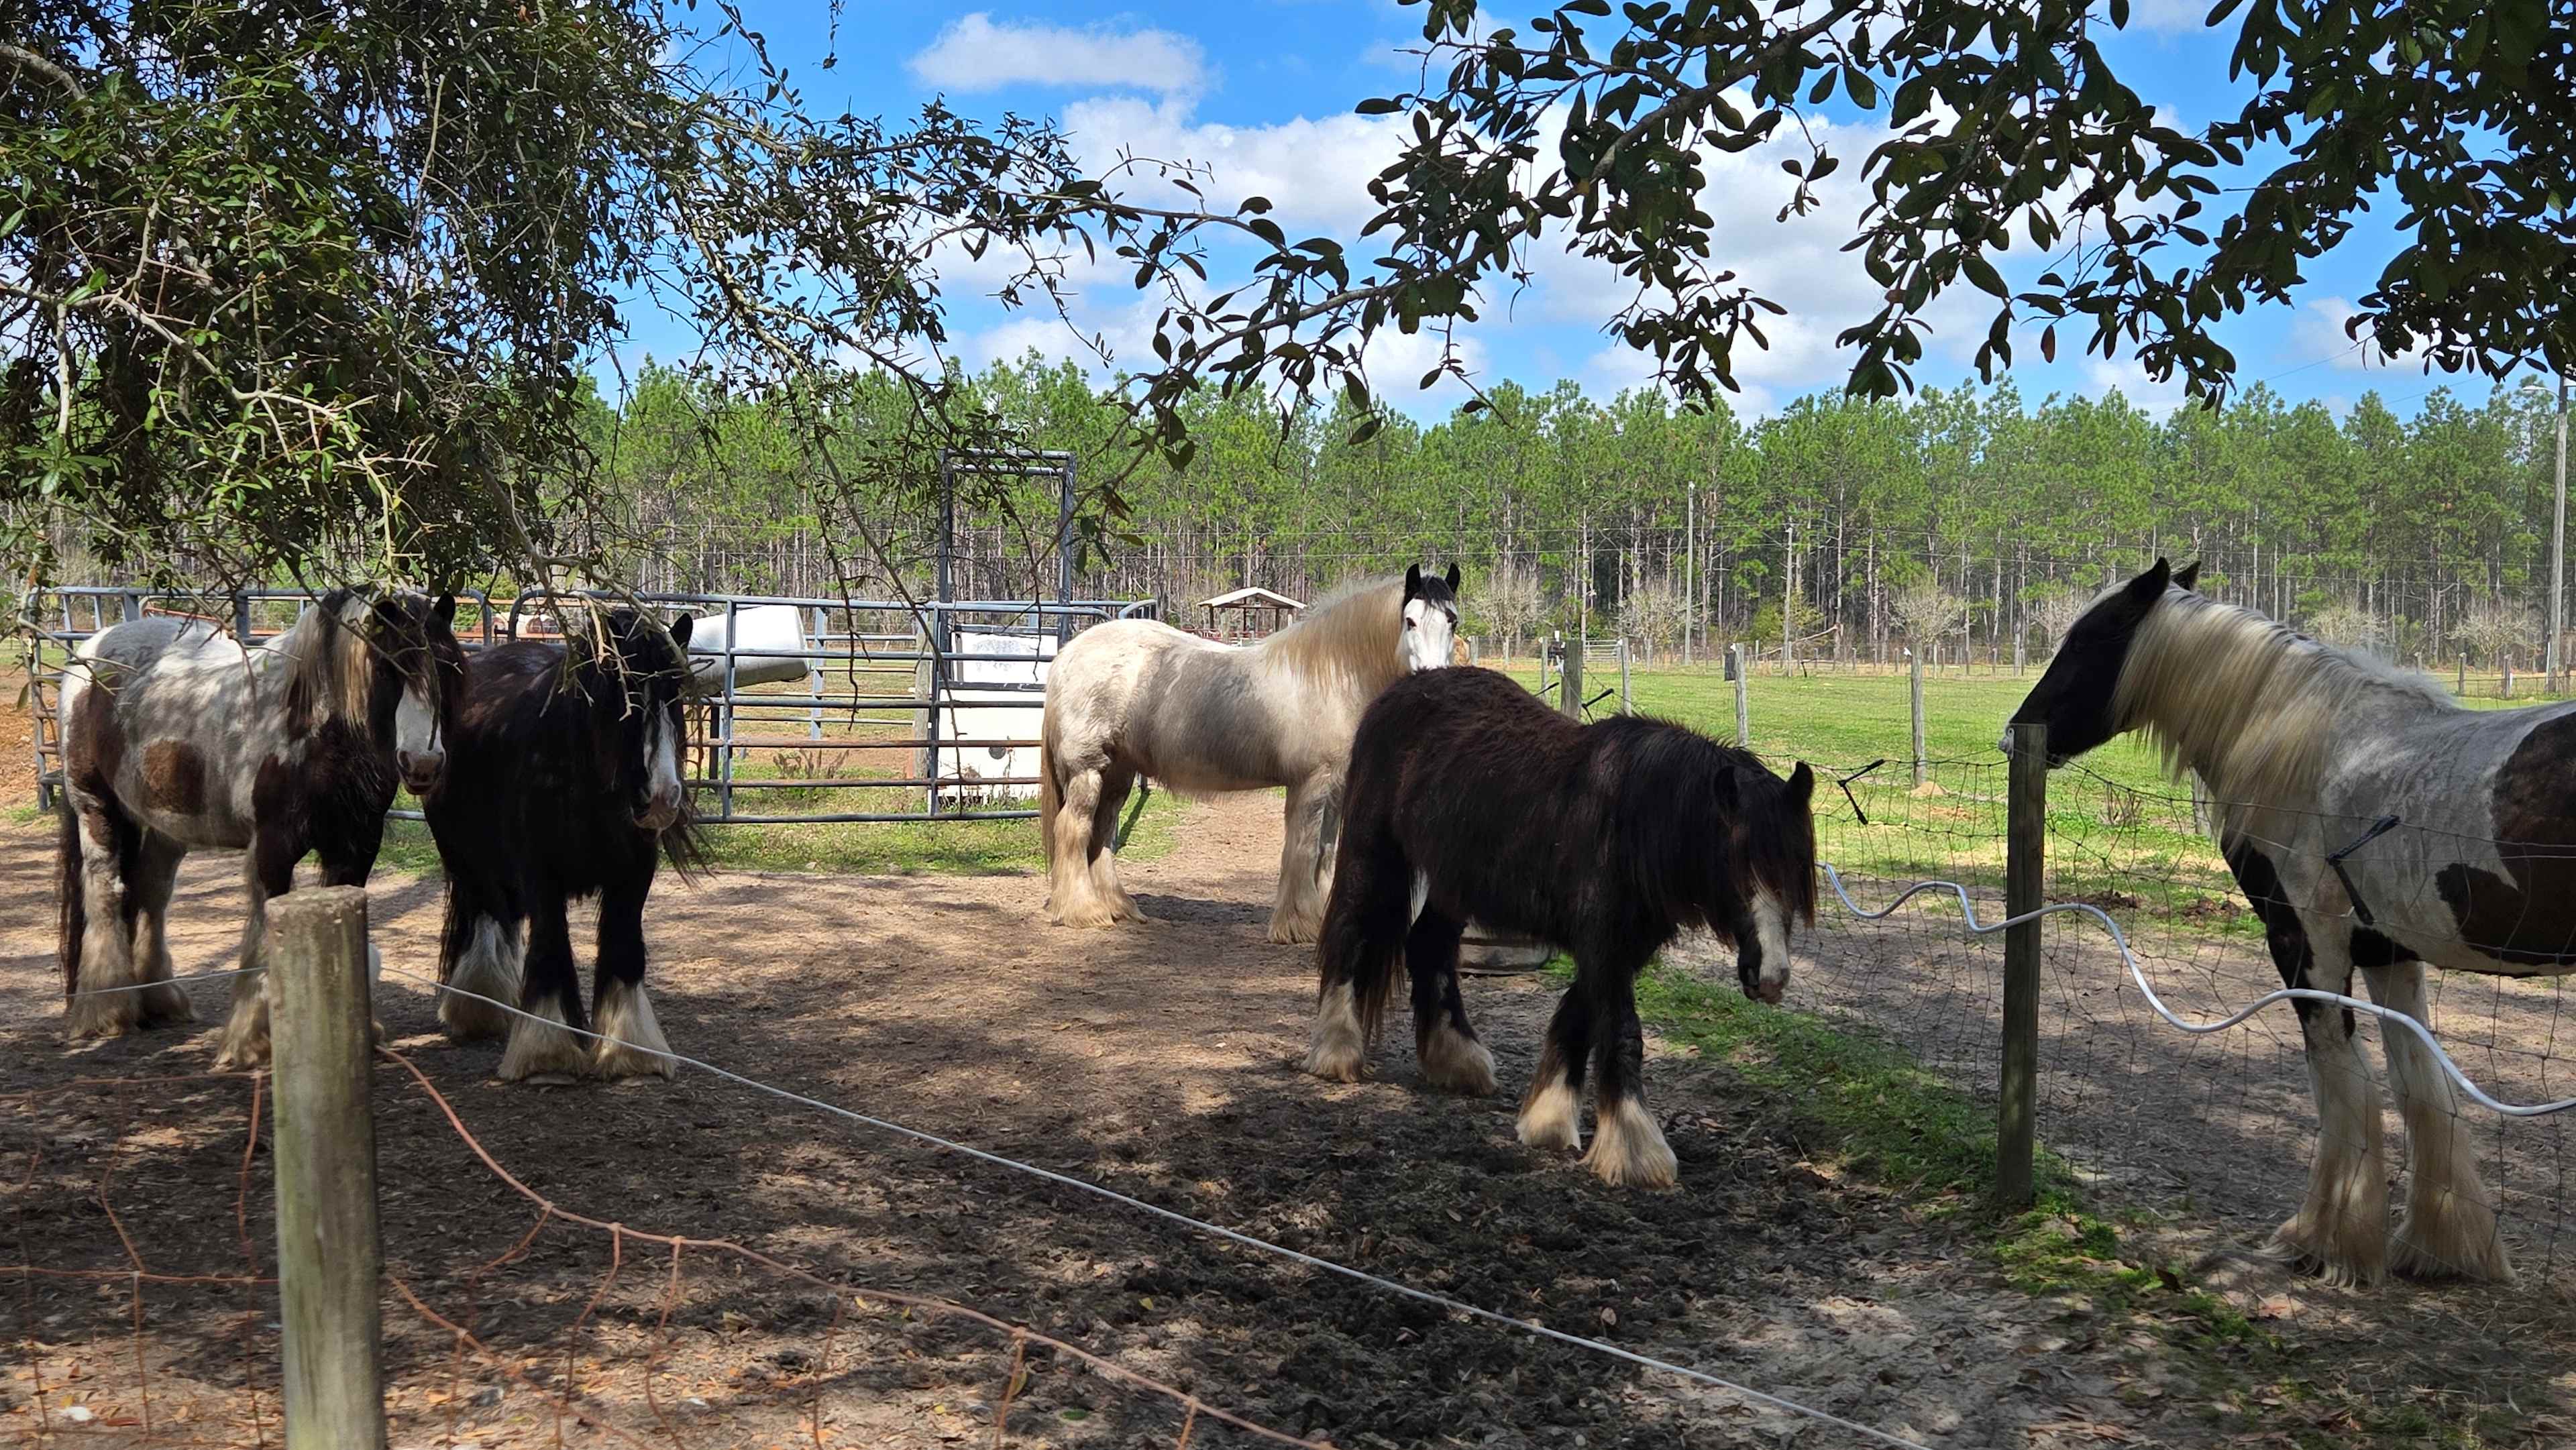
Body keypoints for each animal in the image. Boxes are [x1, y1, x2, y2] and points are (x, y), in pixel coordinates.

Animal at [55, 589, 465, 1067]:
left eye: (447, 668)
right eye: (387, 667)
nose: (423, 764)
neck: (315, 731)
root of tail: (92, 650)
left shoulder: (356, 846)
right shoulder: (274, 848)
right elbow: (265, 934)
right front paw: (253, 1039)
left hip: (167, 826)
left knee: (151, 894)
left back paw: (160, 1001)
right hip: (95, 808)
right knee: (106, 891)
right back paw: (107, 1010)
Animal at [422, 606, 704, 1082]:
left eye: (675, 693)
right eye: (621, 694)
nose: (661, 798)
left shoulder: (633, 878)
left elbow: (625, 951)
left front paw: (630, 1051)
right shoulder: (542, 880)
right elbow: (550, 950)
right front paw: (546, 1053)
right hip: (468, 861)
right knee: (486, 916)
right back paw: (480, 1008)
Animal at [1039, 563, 1462, 943]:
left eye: (1452, 621)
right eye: (1410, 621)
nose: (1433, 684)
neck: (1331, 677)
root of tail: (1068, 655)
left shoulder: (1336, 788)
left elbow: (1326, 852)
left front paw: (1320, 916)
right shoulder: (1310, 784)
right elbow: (1303, 850)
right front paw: (1298, 925)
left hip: (1118, 773)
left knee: (1101, 831)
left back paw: (1118, 908)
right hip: (1087, 771)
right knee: (1074, 830)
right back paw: (1083, 911)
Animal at [1303, 666, 1818, 1187]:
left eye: (1796, 872)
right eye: (1735, 868)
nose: (1771, 977)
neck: (1628, 821)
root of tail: (1404, 688)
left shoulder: (1622, 949)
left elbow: (1579, 1016)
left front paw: (1548, 1120)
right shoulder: (1603, 943)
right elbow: (1621, 1031)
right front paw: (1637, 1150)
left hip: (1454, 882)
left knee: (1430, 948)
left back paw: (1456, 1058)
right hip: (1373, 852)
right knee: (1349, 934)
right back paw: (1337, 1052)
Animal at [2007, 557, 2569, 1285]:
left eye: (2088, 639)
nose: (2016, 731)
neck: (2315, 750)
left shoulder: (2307, 948)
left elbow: (2342, 1083)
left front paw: (2326, 1240)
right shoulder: (2389, 953)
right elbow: (2419, 1085)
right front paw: (2440, 1246)